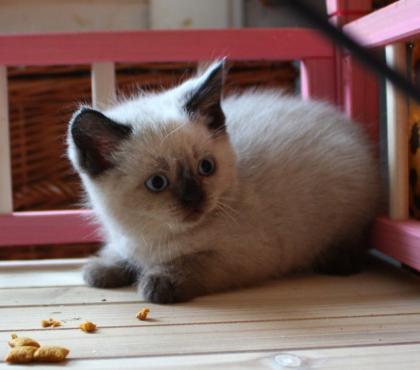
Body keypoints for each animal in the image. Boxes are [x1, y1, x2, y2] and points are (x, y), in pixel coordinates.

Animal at [66, 60, 380, 304]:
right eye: (157, 183)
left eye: (206, 167)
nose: (194, 199)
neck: (154, 237)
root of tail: (345, 125)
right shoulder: (129, 241)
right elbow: (119, 254)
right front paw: (102, 269)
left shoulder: (245, 256)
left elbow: (193, 262)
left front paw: (158, 282)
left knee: (355, 238)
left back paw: (338, 261)